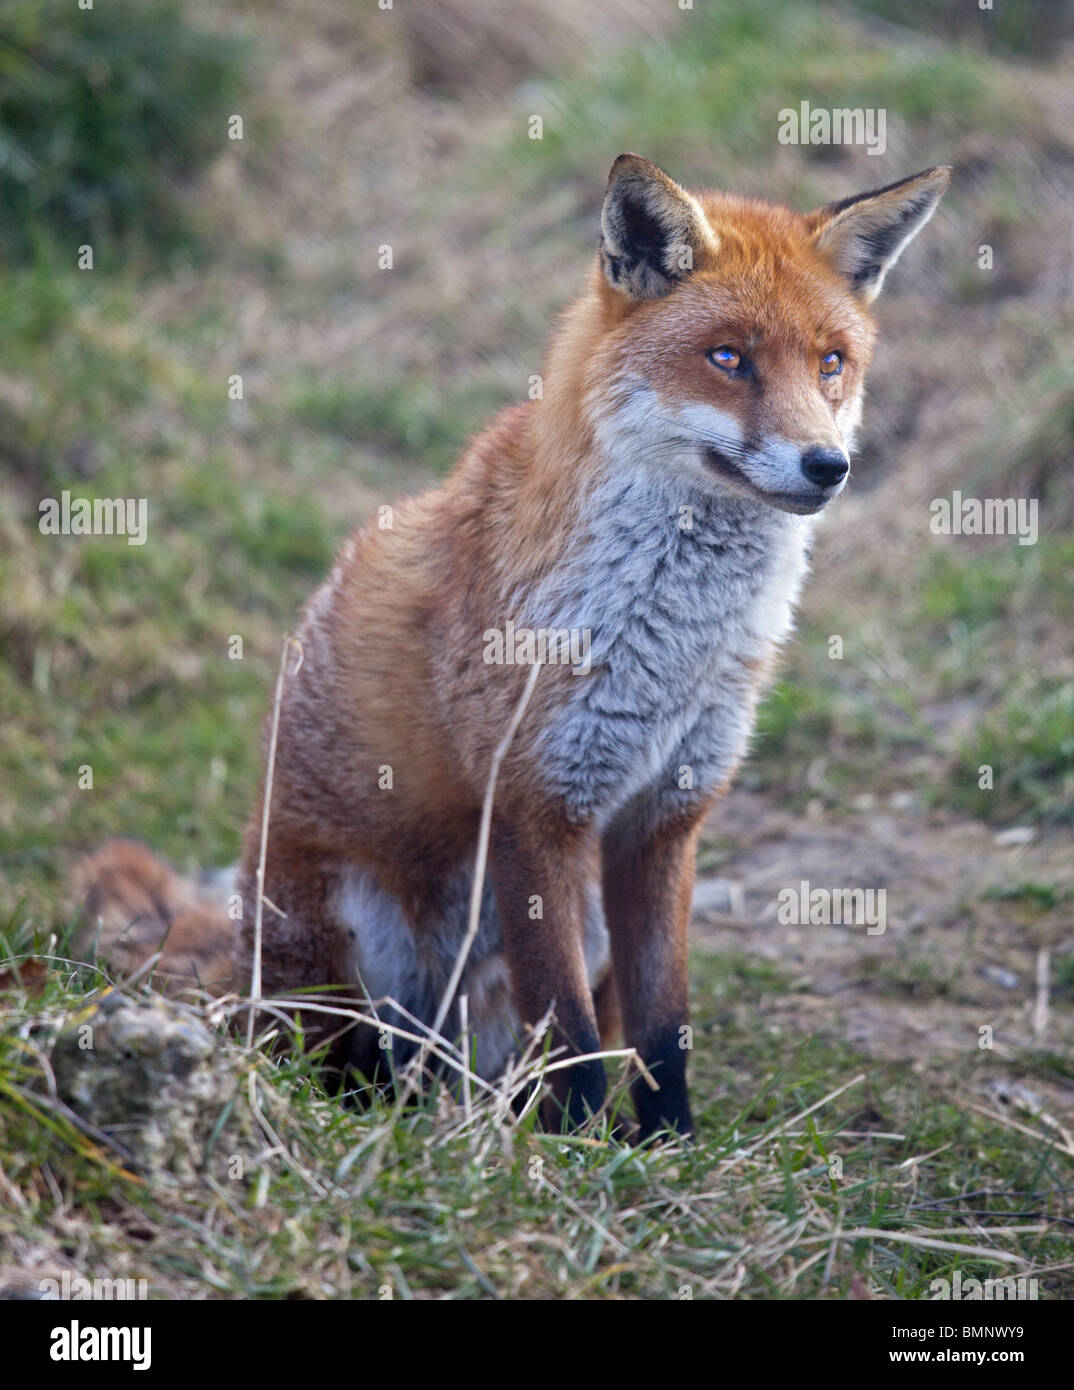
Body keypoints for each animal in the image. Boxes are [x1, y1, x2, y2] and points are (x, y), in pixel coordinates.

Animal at [75, 154, 950, 1141]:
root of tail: (241, 960)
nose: (827, 466)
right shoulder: (536, 806)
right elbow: (564, 1023)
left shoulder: (664, 817)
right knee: (344, 1064)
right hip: (354, 942)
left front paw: (668, 1148)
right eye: (730, 359)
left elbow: (664, 1025)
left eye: (832, 363)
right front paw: (574, 1149)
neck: (673, 646)